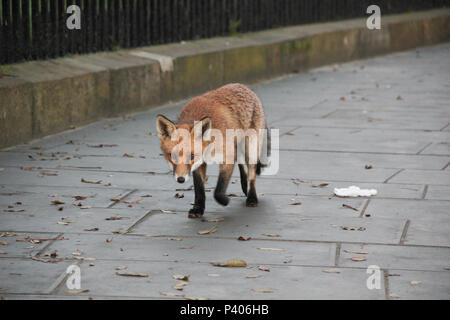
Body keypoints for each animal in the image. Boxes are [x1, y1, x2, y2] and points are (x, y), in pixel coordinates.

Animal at [156, 83, 268, 218]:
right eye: (173, 156)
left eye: (191, 156)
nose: (181, 179)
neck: (209, 146)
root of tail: (242, 85)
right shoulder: (199, 163)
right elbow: (199, 189)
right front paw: (198, 209)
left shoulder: (227, 156)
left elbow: (219, 189)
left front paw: (224, 200)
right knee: (242, 165)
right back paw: (245, 186)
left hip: (250, 148)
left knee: (252, 174)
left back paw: (252, 197)